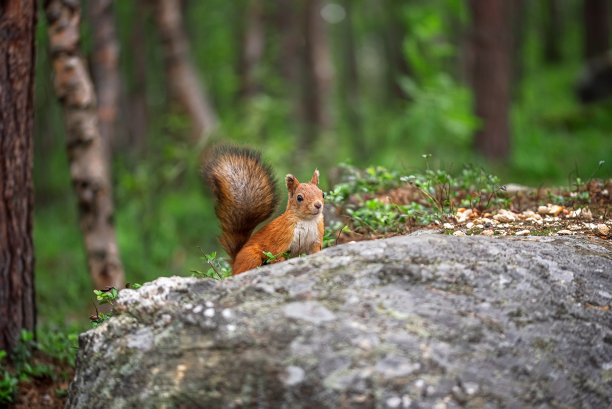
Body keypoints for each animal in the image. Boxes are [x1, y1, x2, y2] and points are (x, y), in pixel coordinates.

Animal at [203, 145, 326, 276]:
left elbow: (315, 253)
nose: (318, 205)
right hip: (251, 257)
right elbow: (277, 257)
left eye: (322, 194)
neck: (307, 221)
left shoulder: (316, 241)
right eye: (299, 198)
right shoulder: (280, 240)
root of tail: (235, 262)